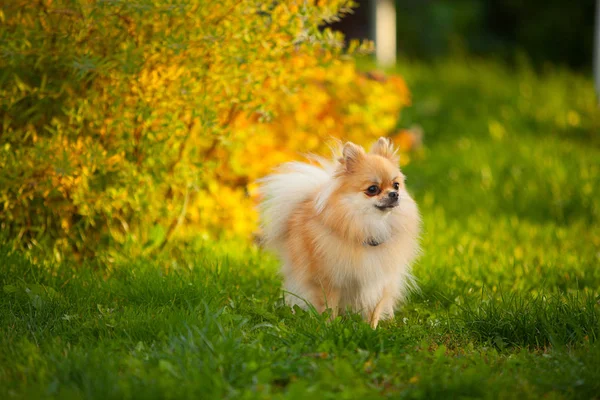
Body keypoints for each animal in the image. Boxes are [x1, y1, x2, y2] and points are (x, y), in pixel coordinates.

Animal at [258, 138, 422, 328]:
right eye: (372, 189)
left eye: (396, 185)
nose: (394, 194)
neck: (369, 227)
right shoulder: (329, 281)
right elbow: (329, 307)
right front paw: (330, 328)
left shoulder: (380, 280)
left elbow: (374, 309)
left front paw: (371, 330)